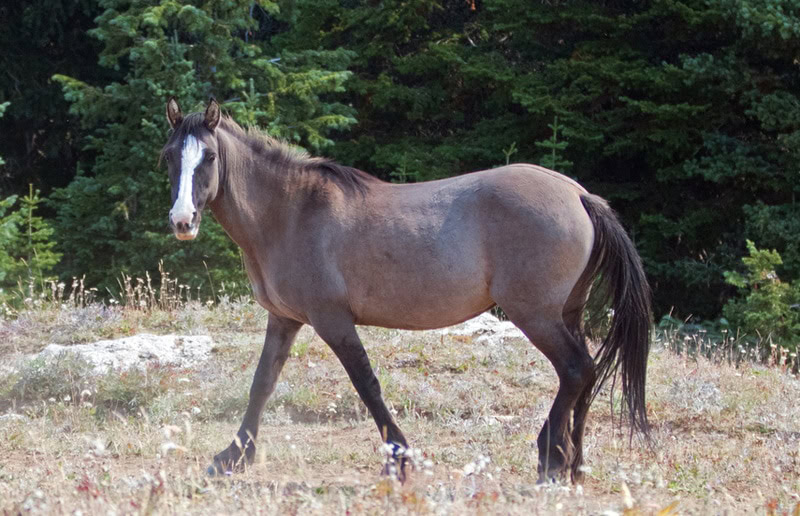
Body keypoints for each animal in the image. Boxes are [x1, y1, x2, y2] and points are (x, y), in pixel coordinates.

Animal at [161, 97, 651, 483]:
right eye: (169, 157)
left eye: (208, 156)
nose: (182, 221)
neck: (291, 212)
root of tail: (579, 195)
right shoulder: (284, 319)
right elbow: (262, 383)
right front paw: (233, 456)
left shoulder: (332, 320)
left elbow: (367, 385)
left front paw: (398, 458)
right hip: (565, 313)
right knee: (586, 373)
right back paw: (574, 463)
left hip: (536, 315)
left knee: (575, 369)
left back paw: (551, 458)